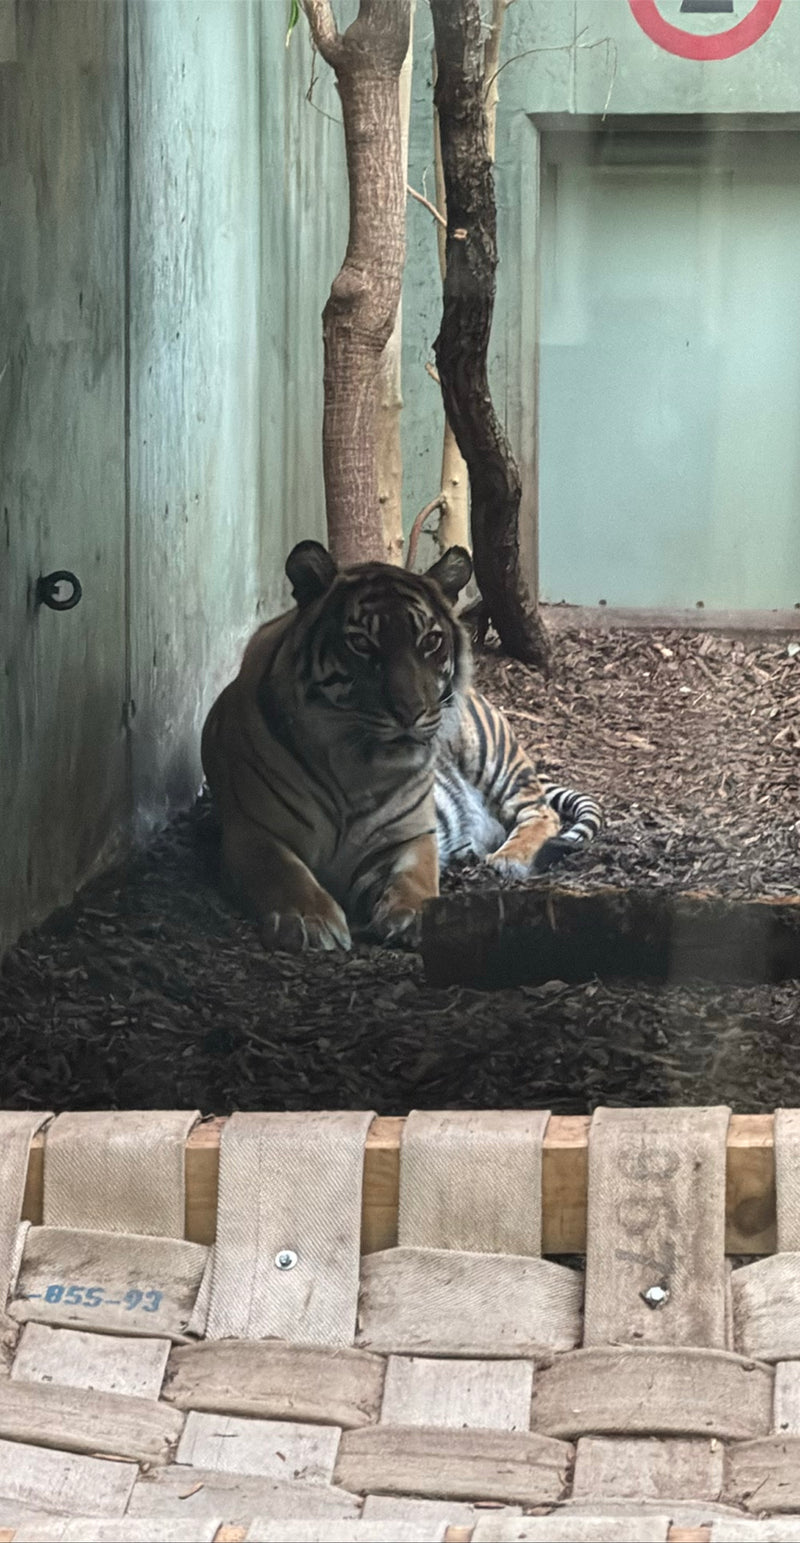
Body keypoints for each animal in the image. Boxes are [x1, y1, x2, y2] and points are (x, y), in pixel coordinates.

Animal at [201, 539, 602, 951]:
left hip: (492, 759)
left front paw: (414, 915)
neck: (351, 769)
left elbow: (414, 877)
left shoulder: (411, 835)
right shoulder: (254, 831)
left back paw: (510, 858)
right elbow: (285, 875)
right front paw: (310, 921)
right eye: (361, 643)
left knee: (541, 812)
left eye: (431, 641)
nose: (411, 712)